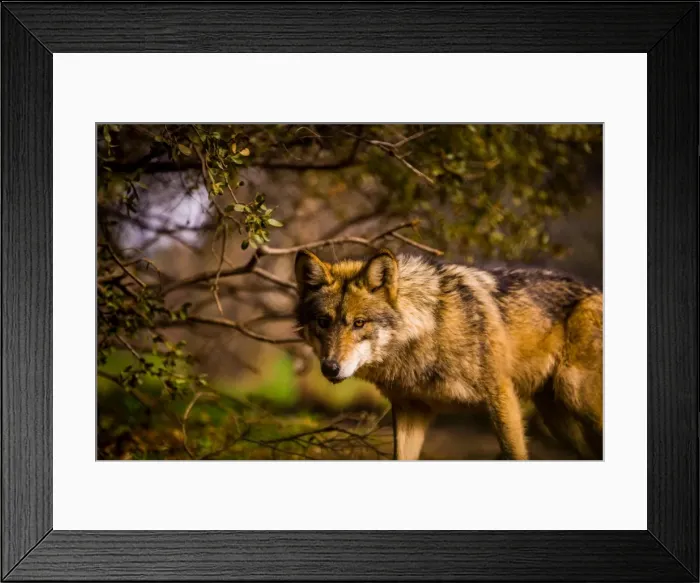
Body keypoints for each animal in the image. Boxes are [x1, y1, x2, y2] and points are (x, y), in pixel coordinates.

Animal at [294, 248, 603, 460]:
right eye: (323, 322)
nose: (330, 368)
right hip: (558, 418)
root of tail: (595, 291)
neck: (430, 327)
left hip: (575, 395)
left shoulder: (501, 397)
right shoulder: (410, 410)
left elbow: (514, 454)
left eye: (359, 323)